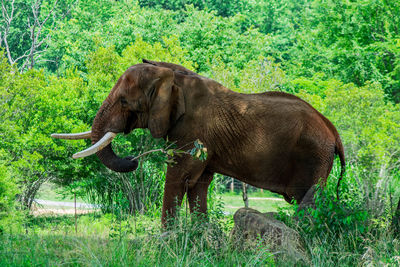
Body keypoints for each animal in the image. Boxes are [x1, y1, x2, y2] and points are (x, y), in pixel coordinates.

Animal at [52, 59, 346, 227]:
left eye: (124, 101)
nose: (132, 161)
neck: (173, 79)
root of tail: (333, 131)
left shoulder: (192, 130)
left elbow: (179, 176)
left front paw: (167, 239)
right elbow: (198, 183)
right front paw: (198, 233)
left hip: (314, 156)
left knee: (310, 198)